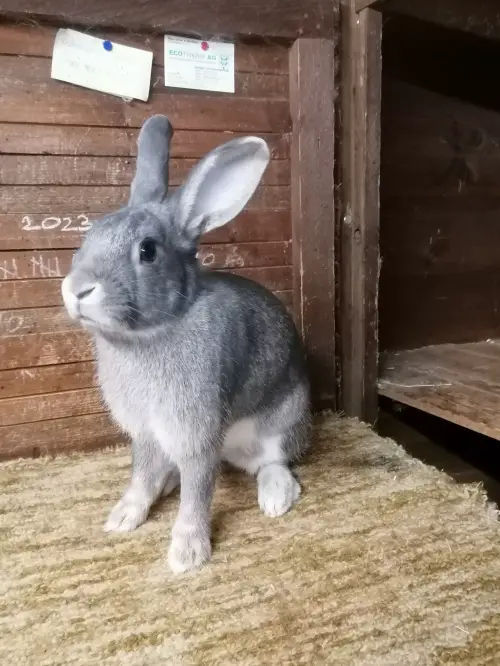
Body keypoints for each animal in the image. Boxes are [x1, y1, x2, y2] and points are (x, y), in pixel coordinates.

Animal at [61, 115, 311, 574]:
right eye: (89, 234)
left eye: (148, 250)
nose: (77, 289)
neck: (149, 334)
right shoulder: (145, 431)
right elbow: (142, 473)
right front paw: (124, 516)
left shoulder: (195, 429)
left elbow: (198, 492)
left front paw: (187, 552)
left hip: (283, 421)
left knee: (272, 460)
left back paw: (276, 495)